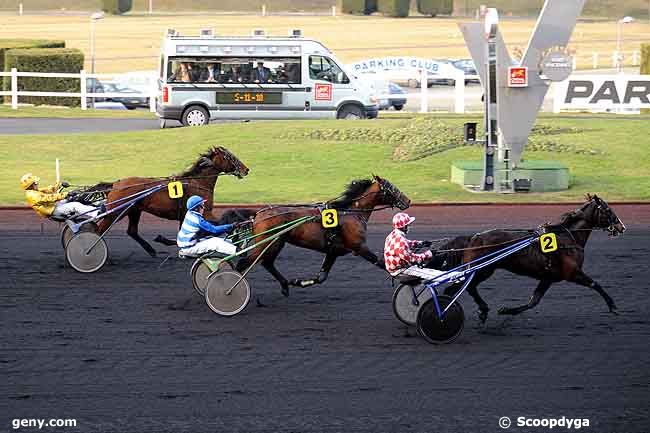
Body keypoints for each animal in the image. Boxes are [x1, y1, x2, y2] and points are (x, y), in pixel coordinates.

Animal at [95, 147, 248, 255]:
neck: (198, 183)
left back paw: (151, 250)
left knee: (131, 231)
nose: (246, 169)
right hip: (116, 212)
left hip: (134, 210)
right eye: (230, 157)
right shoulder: (204, 214)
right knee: (99, 230)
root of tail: (116, 184)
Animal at [234, 176, 410, 296]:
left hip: (276, 243)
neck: (351, 213)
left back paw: (285, 285)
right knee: (244, 263)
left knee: (267, 263)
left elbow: (321, 277)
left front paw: (297, 281)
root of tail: (257, 215)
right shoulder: (359, 247)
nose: (407, 200)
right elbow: (381, 263)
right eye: (391, 188)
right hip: (268, 243)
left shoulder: (333, 251)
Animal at [430, 194, 624, 322]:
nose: (621, 227)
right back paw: (475, 310)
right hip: (482, 270)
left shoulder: (548, 277)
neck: (568, 237)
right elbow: (595, 284)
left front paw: (506, 310)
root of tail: (474, 238)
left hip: (482, 270)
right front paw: (613, 306)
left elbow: (533, 302)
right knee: (465, 288)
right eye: (608, 209)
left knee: (458, 289)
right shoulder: (572, 273)